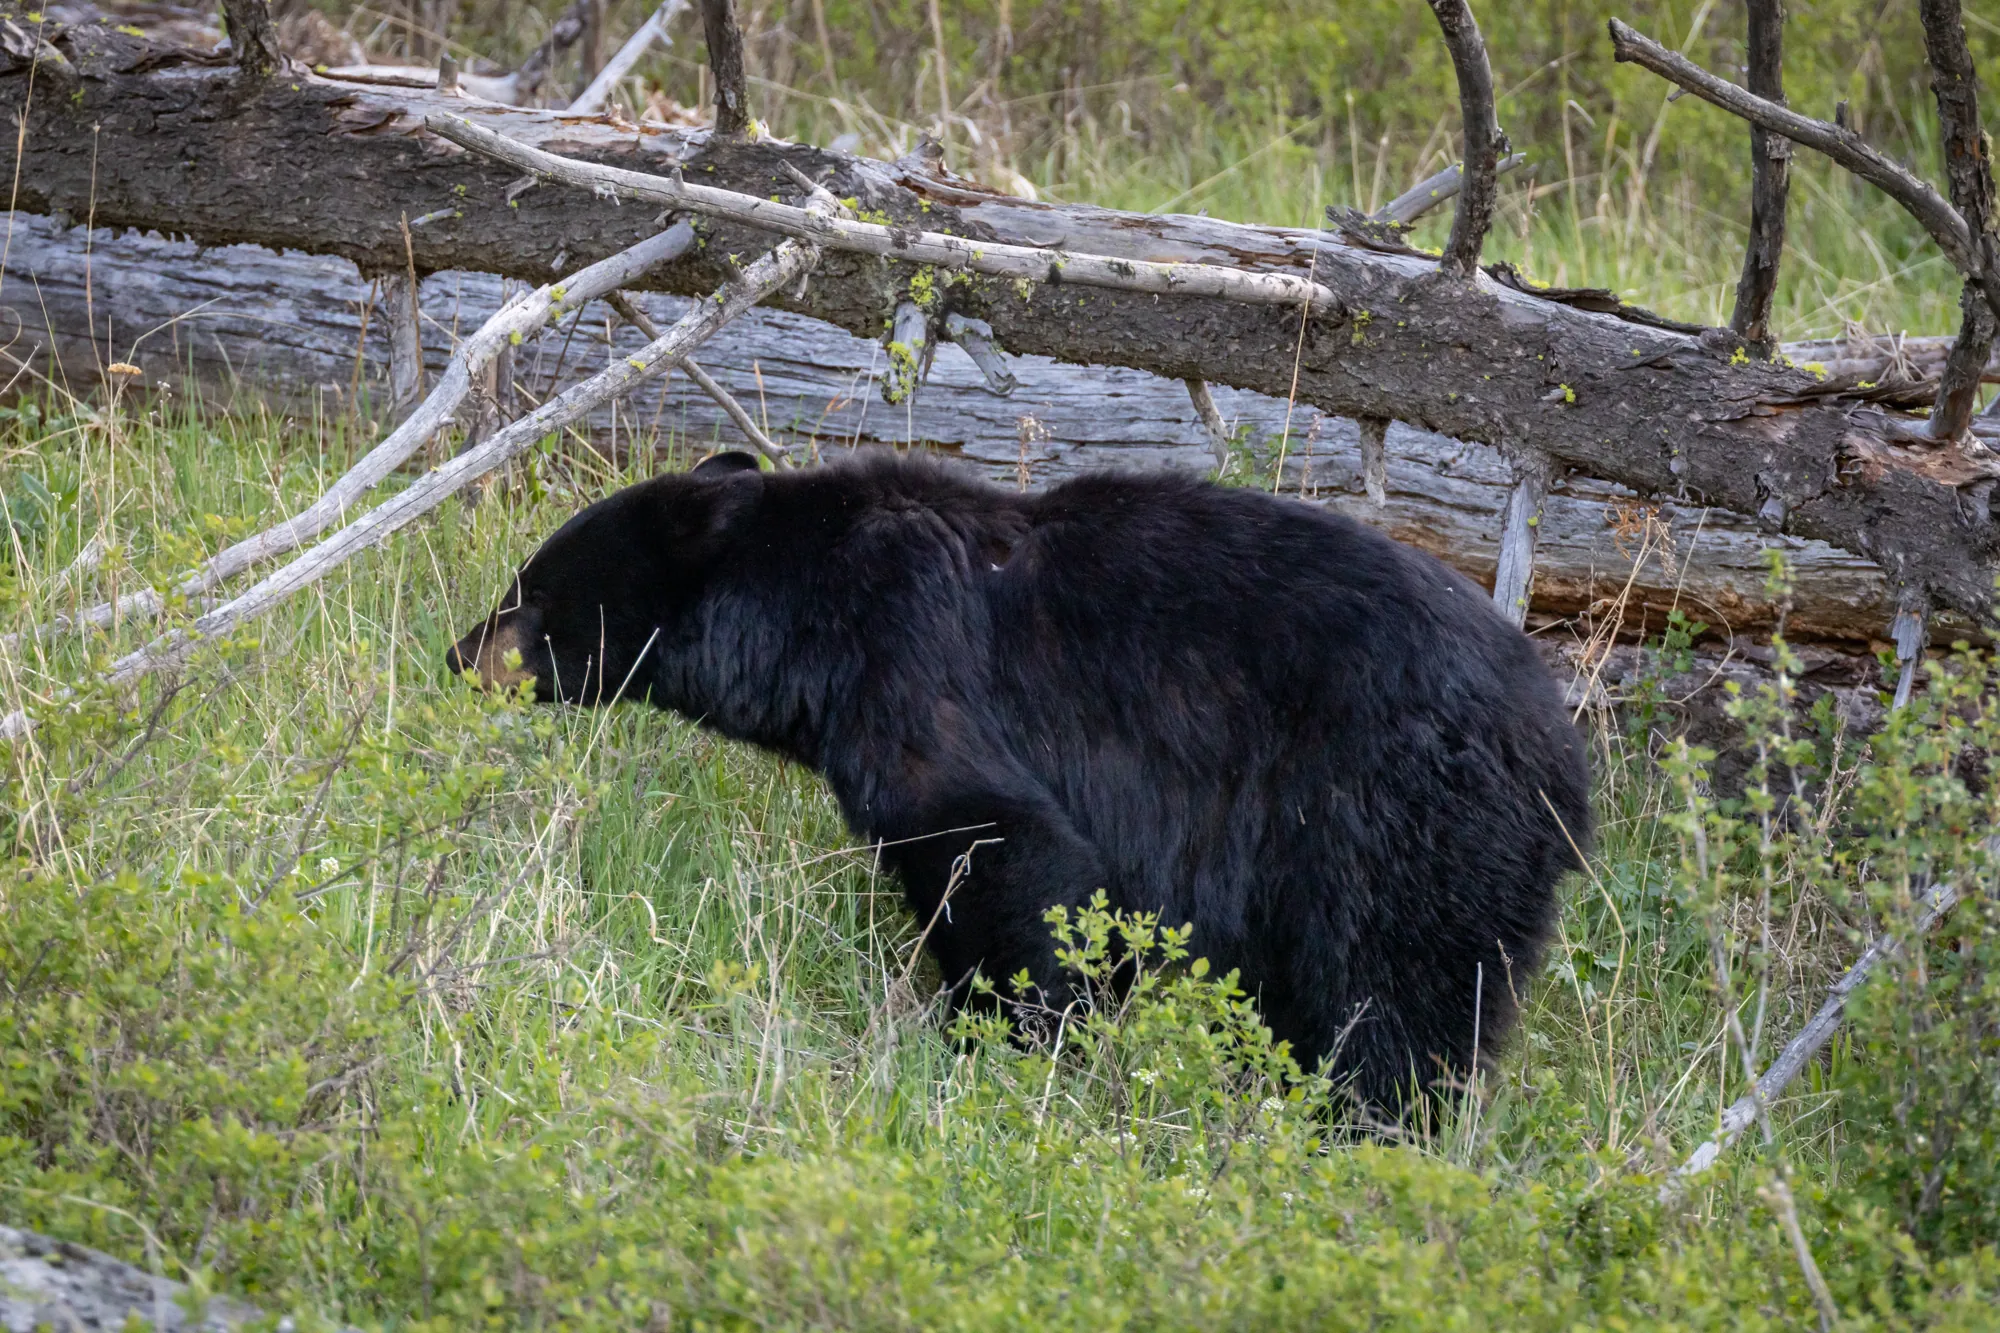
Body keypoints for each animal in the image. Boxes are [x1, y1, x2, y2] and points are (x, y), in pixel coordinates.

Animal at [449, 449, 1590, 1109]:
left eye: (527, 591)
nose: (457, 657)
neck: (806, 611)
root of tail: (1562, 753)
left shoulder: (913, 664)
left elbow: (997, 845)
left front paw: (999, 1043)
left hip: (1395, 819)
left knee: (1394, 997)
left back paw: (1358, 1123)